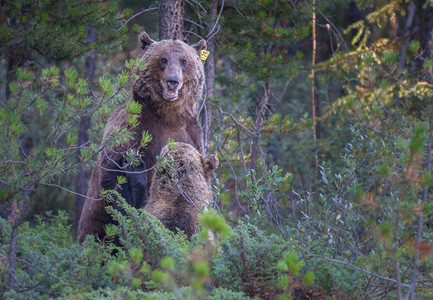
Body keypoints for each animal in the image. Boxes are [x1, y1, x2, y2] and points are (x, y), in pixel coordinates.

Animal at [77, 31, 206, 244]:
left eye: (184, 60)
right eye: (163, 59)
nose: (173, 81)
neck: (167, 116)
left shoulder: (192, 136)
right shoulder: (130, 131)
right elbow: (117, 180)